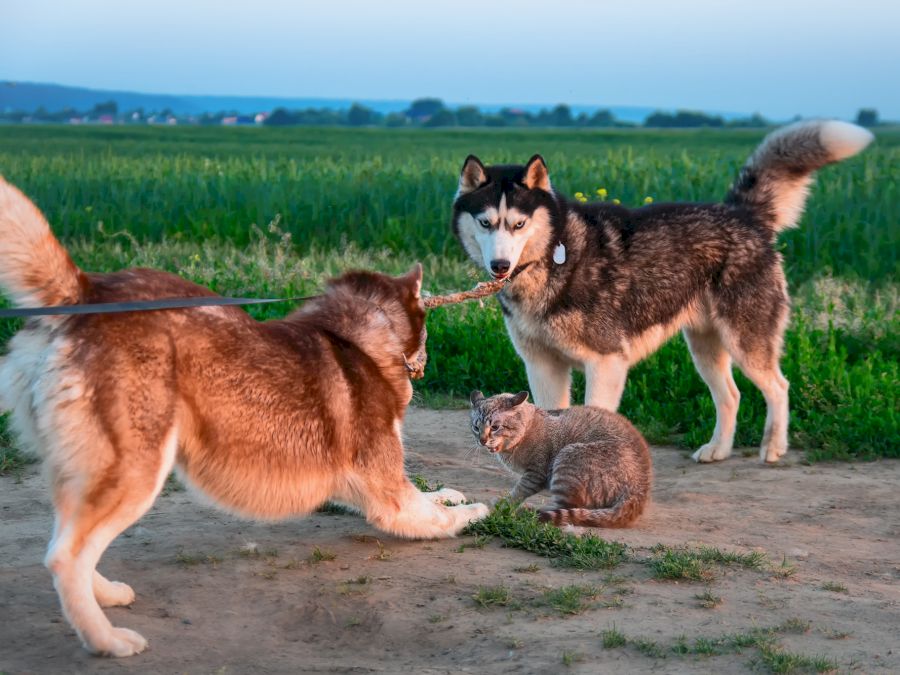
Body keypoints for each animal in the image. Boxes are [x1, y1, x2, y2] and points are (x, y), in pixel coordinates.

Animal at [468, 390, 652, 528]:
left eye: (495, 427)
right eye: (476, 428)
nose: (482, 440)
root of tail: (640, 488)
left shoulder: (535, 473)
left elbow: (518, 491)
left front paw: (502, 505)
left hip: (567, 457)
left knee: (565, 507)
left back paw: (531, 511)